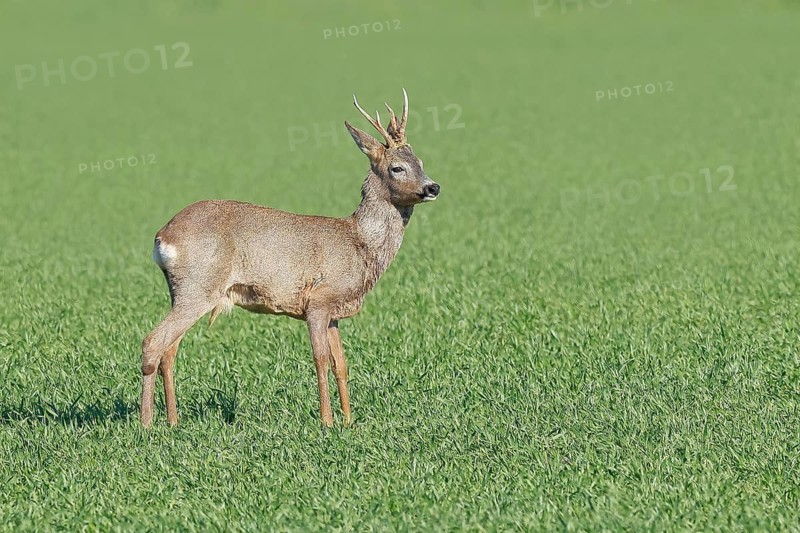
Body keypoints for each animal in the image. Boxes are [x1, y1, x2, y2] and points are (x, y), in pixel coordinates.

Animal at [140, 89, 440, 428]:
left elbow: (341, 363)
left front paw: (349, 421)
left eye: (421, 162)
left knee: (169, 351)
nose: (433, 187)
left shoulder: (335, 311)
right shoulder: (318, 301)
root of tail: (163, 237)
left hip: (183, 292)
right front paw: (327, 422)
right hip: (198, 287)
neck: (359, 243)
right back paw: (146, 424)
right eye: (397, 167)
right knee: (152, 343)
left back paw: (173, 421)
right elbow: (320, 360)